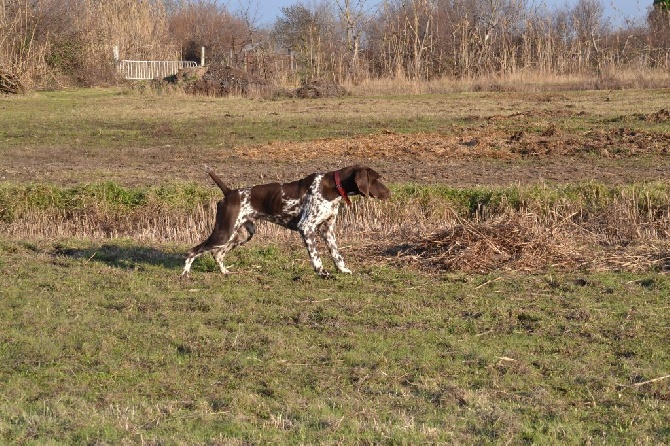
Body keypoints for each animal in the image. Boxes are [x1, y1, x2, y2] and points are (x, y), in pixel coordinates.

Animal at [182, 166, 394, 278]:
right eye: (376, 179)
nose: (389, 193)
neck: (334, 187)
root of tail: (229, 192)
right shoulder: (306, 228)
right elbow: (316, 256)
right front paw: (322, 273)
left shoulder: (327, 230)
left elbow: (337, 254)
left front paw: (342, 270)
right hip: (223, 232)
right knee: (193, 251)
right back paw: (185, 275)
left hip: (242, 234)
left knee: (217, 253)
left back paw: (225, 272)